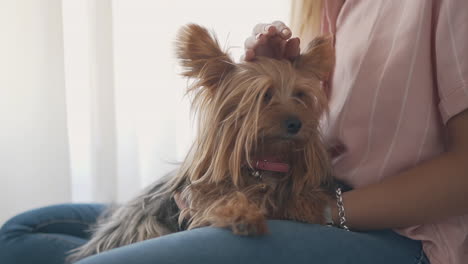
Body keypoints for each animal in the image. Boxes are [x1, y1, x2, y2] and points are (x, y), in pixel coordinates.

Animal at [67, 24, 334, 262]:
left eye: (300, 95)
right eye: (264, 96)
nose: (296, 123)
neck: (265, 159)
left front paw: (304, 204)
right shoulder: (200, 194)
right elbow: (223, 198)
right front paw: (243, 214)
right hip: (144, 224)